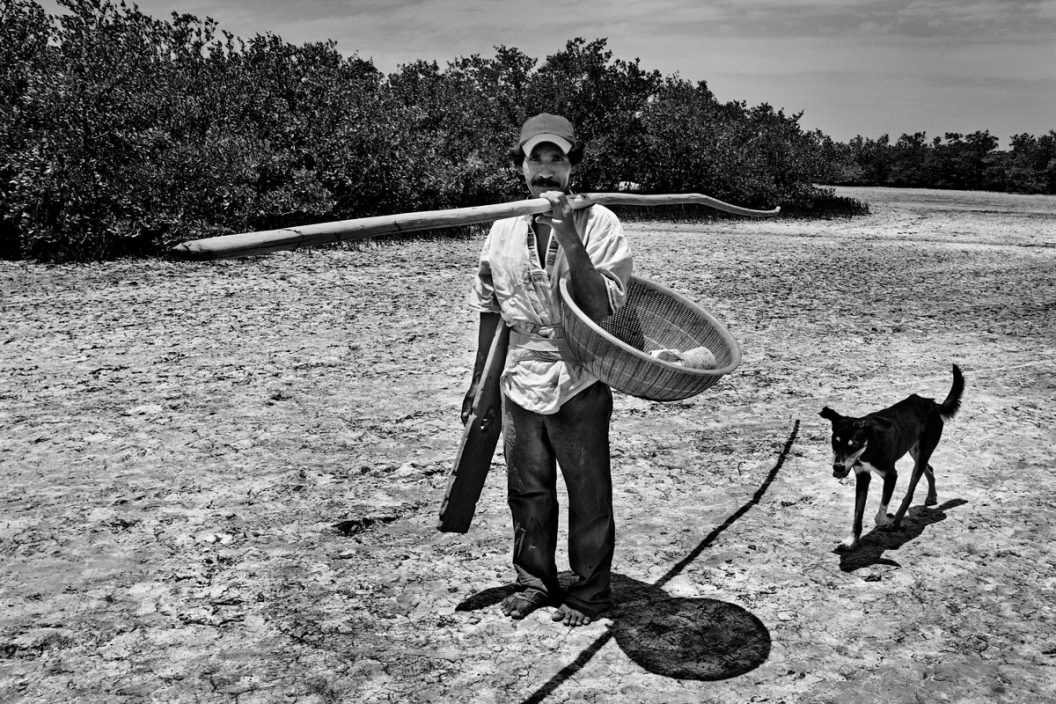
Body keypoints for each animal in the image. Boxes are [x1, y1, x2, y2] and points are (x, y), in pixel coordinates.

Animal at [815, 367, 967, 553]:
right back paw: (931, 496)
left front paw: (887, 519)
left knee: (910, 492)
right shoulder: (863, 476)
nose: (837, 467)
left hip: (922, 453)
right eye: (835, 442)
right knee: (929, 469)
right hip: (914, 450)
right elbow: (857, 514)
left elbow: (880, 513)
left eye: (853, 445)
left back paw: (896, 522)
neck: (869, 445)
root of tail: (932, 404)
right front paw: (852, 540)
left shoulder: (891, 475)